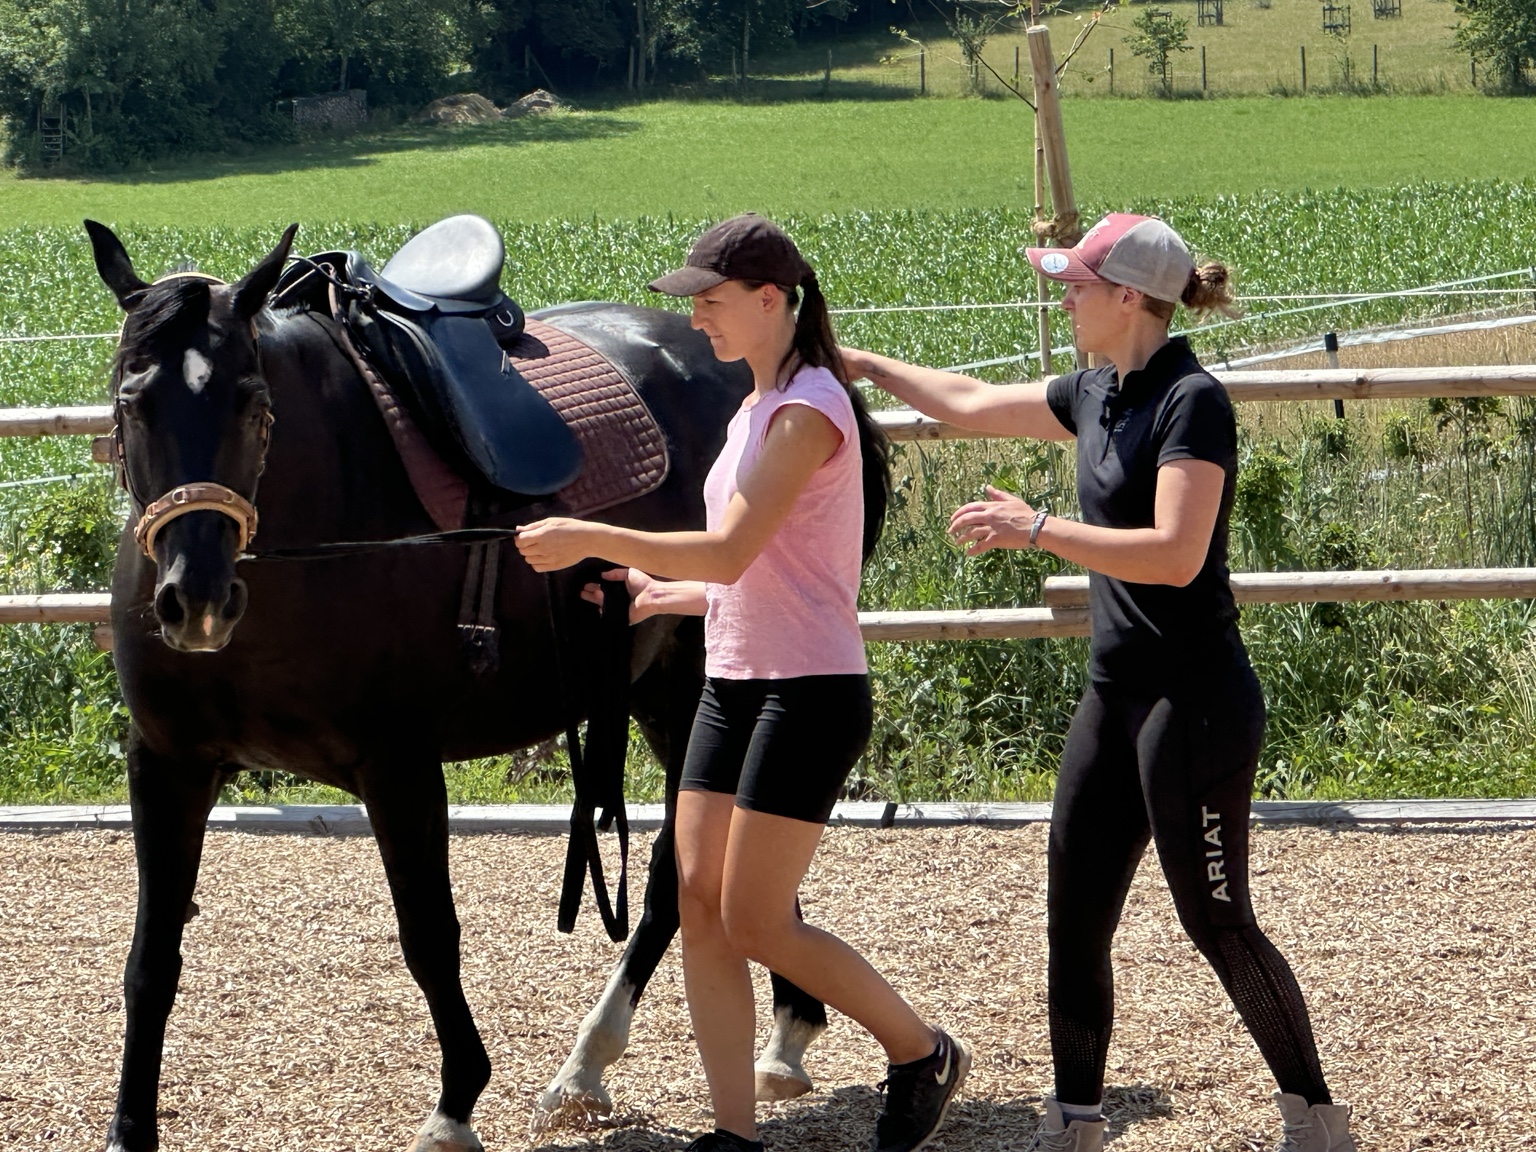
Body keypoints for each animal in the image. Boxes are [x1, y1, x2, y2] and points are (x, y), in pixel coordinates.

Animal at [84, 220, 829, 1152]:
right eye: (130, 402)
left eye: (253, 404)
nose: (200, 600)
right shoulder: (168, 764)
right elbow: (151, 958)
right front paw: (128, 1127)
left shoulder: (398, 766)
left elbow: (429, 936)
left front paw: (455, 1104)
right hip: (670, 691)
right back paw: (766, 1037)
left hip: (706, 681)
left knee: (679, 871)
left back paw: (601, 1060)